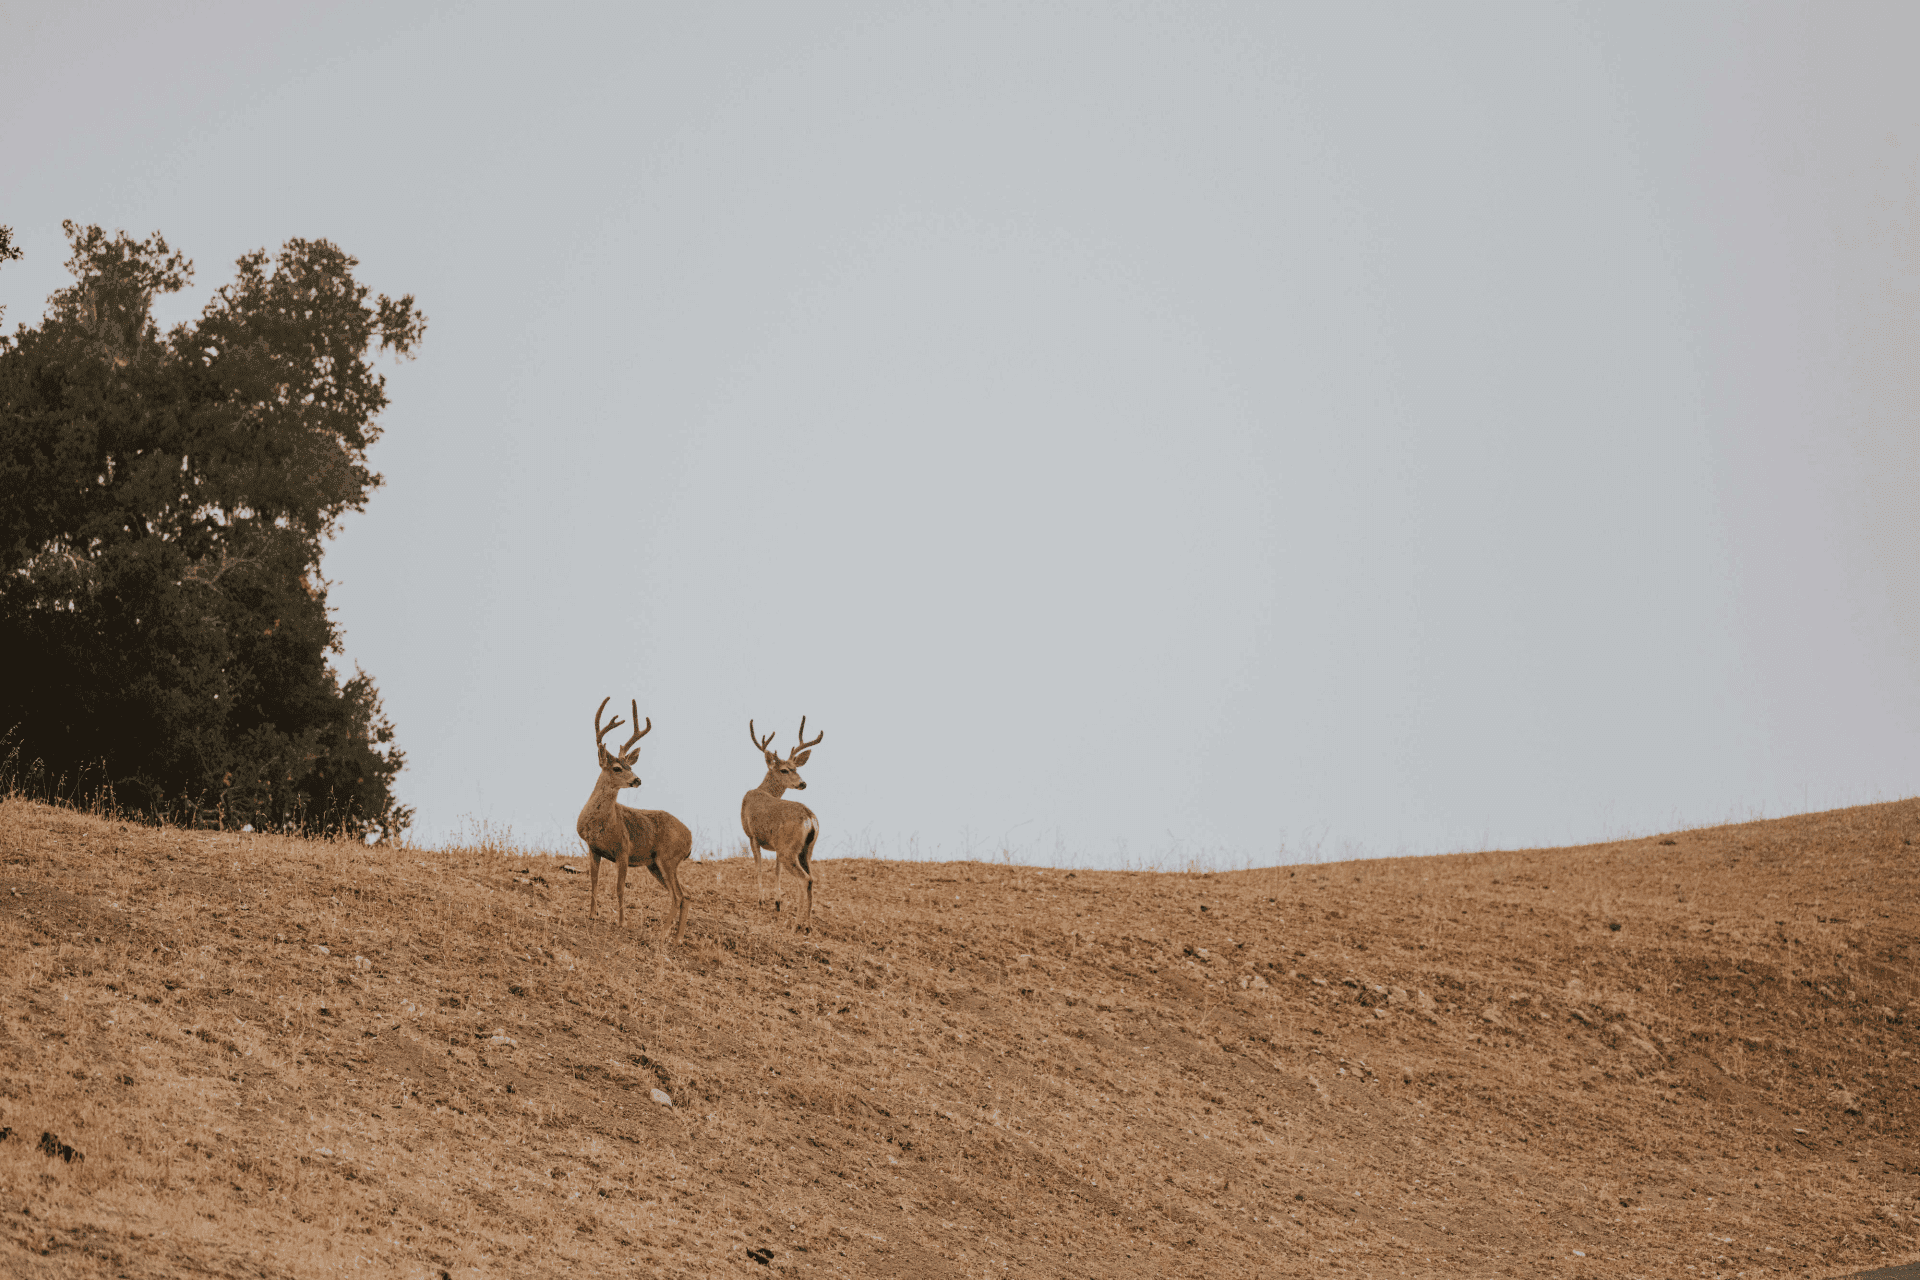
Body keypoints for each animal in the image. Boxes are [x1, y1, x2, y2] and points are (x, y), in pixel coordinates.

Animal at [575, 697, 694, 941]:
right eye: (617, 768)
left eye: (631, 766)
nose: (637, 779)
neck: (602, 824)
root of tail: (691, 839)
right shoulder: (593, 848)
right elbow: (594, 880)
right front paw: (592, 914)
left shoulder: (623, 849)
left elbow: (620, 887)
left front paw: (621, 922)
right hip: (656, 864)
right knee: (686, 894)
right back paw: (677, 938)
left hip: (668, 858)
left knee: (677, 895)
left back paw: (663, 933)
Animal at [740, 716, 824, 930]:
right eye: (785, 770)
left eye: (796, 769)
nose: (803, 783)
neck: (763, 790)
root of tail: (810, 817)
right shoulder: (776, 845)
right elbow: (776, 871)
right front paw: (777, 903)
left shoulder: (752, 835)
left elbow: (759, 866)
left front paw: (761, 901)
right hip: (805, 849)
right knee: (812, 878)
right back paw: (808, 925)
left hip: (789, 849)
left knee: (805, 879)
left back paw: (797, 925)